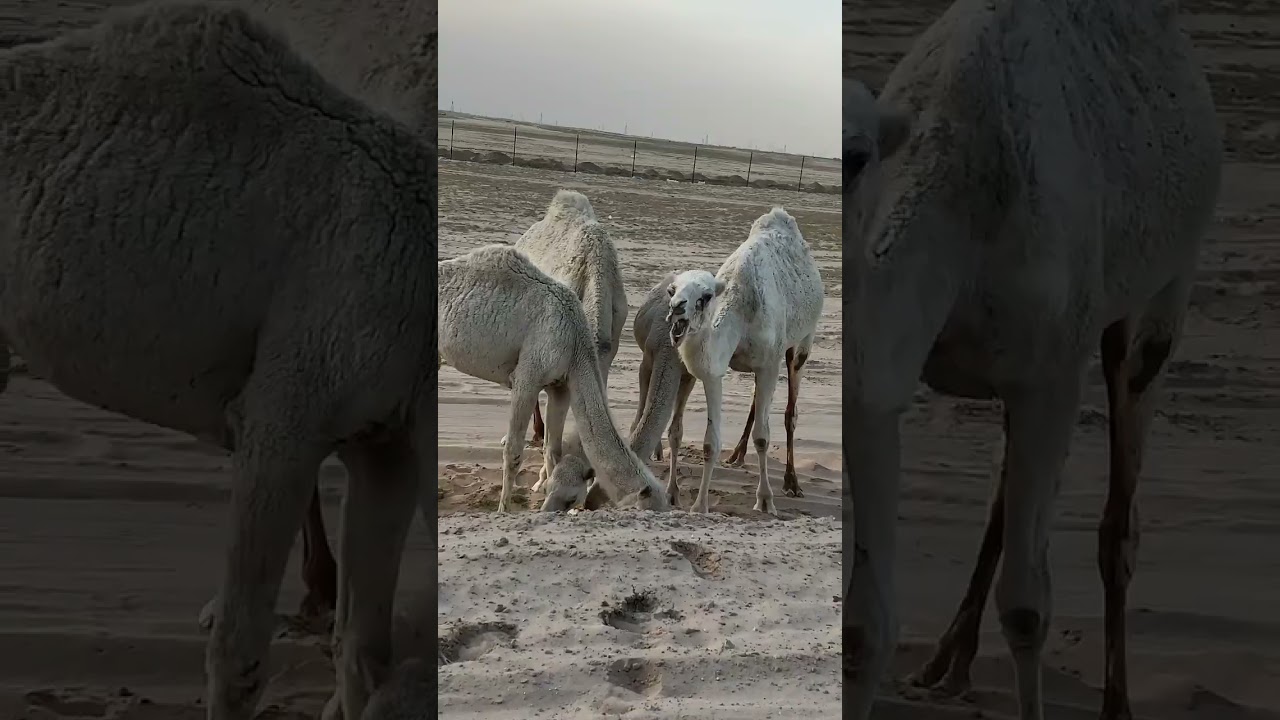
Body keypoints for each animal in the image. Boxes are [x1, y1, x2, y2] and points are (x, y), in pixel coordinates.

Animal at [439, 244, 669, 513]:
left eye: (571, 497)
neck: (575, 341)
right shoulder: (527, 377)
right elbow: (513, 451)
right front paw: (503, 509)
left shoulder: (561, 387)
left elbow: (553, 450)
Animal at [667, 208, 823, 515]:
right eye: (672, 289)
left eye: (705, 296)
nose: (676, 307)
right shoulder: (714, 370)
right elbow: (709, 442)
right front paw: (699, 505)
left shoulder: (770, 363)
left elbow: (763, 437)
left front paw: (765, 501)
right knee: (755, 401)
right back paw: (737, 455)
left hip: (802, 343)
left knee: (790, 410)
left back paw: (792, 483)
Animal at [843, 0, 1222, 717]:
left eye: (855, 155)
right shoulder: (880, 393)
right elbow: (863, 628)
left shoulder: (1051, 374)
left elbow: (1026, 608)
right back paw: (947, 663)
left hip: (1165, 290)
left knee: (1118, 513)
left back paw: (1116, 702)